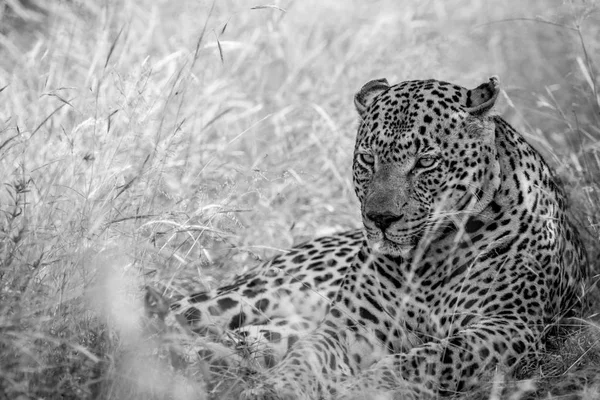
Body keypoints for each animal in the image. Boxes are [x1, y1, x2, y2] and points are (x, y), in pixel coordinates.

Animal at [143, 76, 588, 398]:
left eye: (426, 162)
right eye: (367, 159)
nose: (381, 219)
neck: (428, 260)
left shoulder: (506, 326)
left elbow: (428, 359)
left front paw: (365, 387)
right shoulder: (348, 327)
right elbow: (306, 361)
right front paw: (275, 389)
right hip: (249, 297)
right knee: (161, 312)